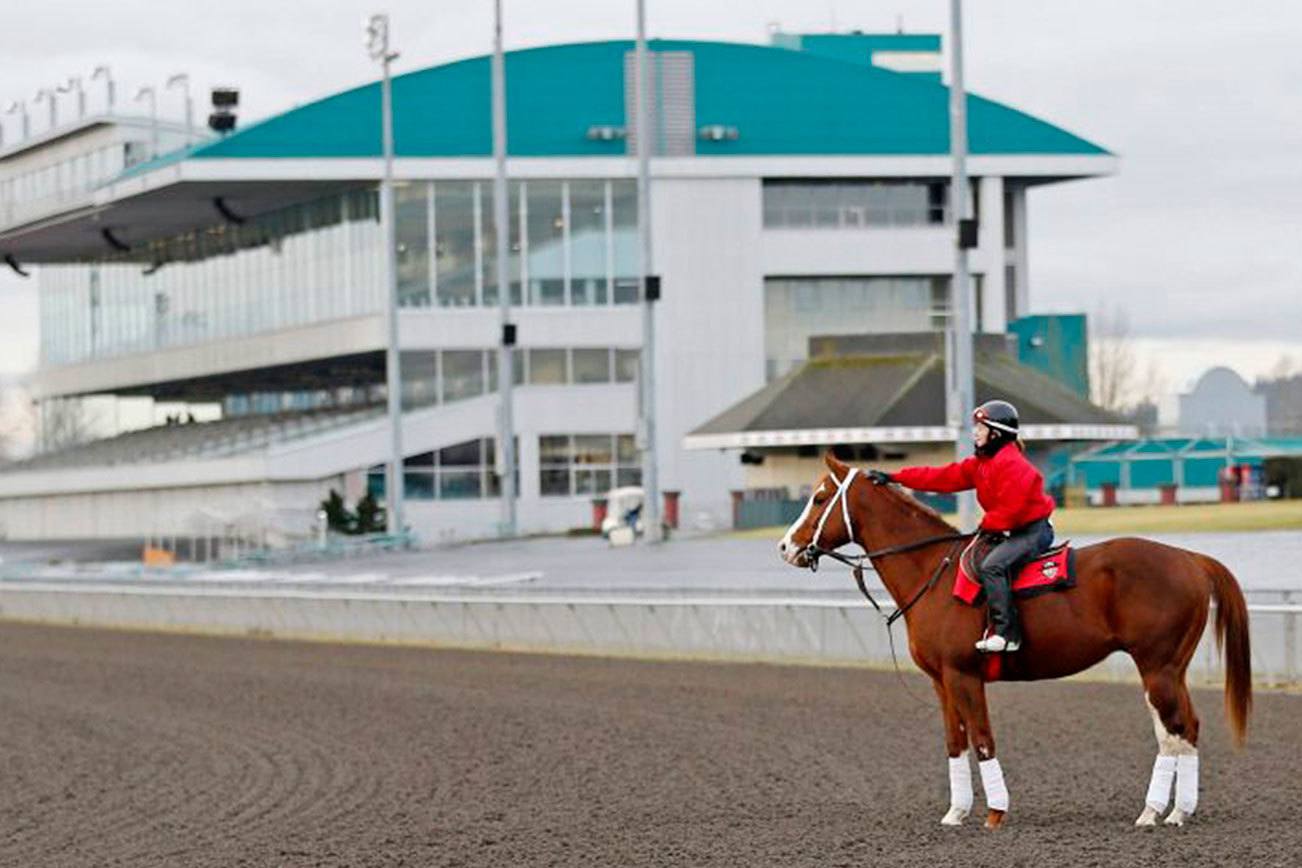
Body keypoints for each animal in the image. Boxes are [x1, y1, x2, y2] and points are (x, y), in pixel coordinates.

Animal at [777, 451, 1251, 829]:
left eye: (819, 498)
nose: (785, 546)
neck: (933, 570)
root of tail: (1189, 559)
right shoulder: (942, 681)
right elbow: (955, 743)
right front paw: (956, 813)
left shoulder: (964, 676)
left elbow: (984, 739)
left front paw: (995, 813)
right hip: (1169, 671)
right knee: (1182, 730)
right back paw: (1171, 811)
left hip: (1158, 669)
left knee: (1176, 730)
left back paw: (1158, 812)